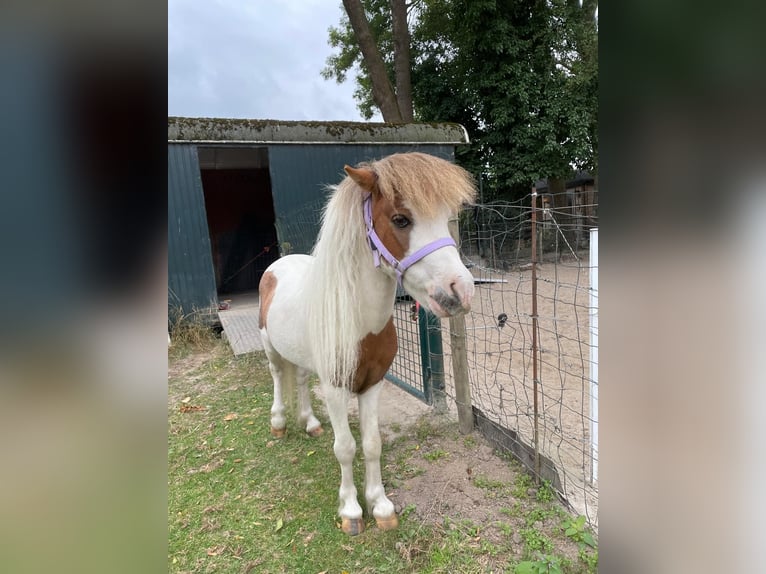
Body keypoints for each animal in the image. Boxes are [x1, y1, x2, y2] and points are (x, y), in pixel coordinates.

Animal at [258, 152, 477, 535]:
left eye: (447, 217)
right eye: (401, 219)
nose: (460, 292)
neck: (359, 323)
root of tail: (278, 264)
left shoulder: (373, 383)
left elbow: (372, 443)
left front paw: (381, 505)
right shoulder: (335, 388)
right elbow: (345, 447)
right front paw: (350, 510)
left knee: (299, 379)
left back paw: (310, 423)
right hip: (271, 349)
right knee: (278, 378)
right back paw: (280, 423)